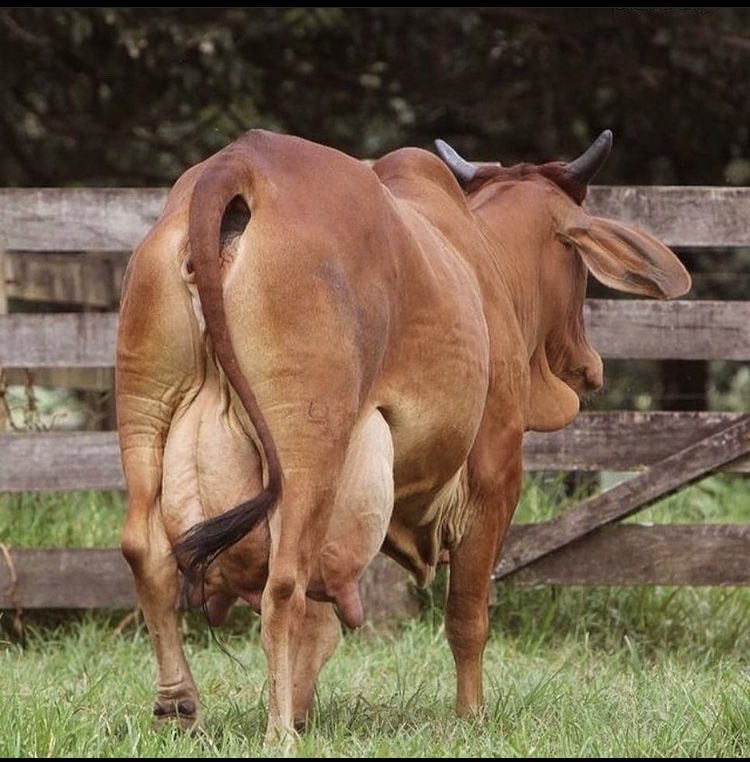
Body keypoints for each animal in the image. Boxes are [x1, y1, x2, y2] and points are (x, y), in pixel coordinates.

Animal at [116, 128, 690, 743]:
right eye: (578, 266)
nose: (590, 366)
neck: (485, 258)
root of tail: (240, 164)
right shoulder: (496, 474)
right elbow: (467, 613)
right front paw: (471, 715)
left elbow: (323, 626)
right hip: (306, 445)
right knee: (283, 584)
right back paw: (279, 733)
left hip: (144, 411)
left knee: (148, 555)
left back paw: (178, 708)